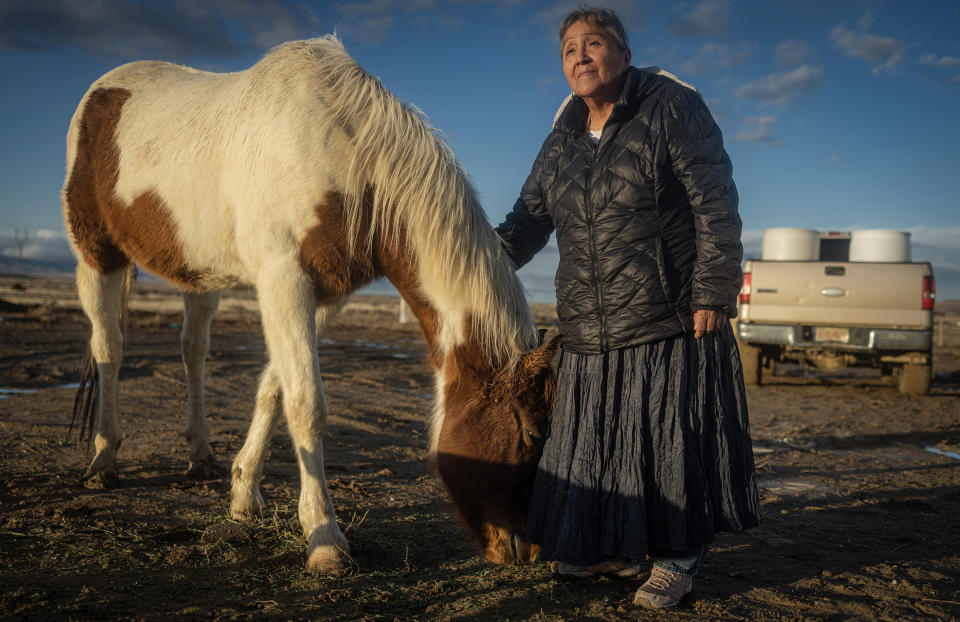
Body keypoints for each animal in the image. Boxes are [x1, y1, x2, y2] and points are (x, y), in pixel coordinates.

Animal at [63, 33, 560, 572]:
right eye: (530, 434)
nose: (528, 548)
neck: (345, 158)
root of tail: (101, 90)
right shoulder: (283, 281)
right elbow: (306, 405)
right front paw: (324, 539)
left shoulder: (325, 294)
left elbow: (274, 388)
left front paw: (244, 495)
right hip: (96, 254)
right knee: (109, 349)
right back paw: (103, 460)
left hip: (199, 274)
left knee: (193, 349)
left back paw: (200, 454)